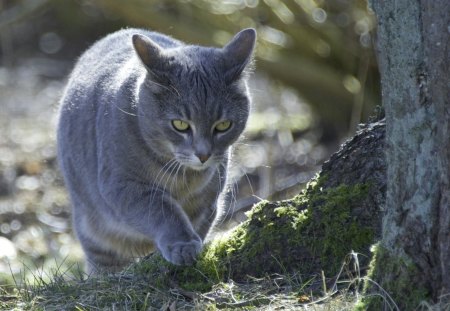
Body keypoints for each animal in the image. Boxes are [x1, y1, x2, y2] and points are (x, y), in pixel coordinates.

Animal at [55, 28, 256, 274]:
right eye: (180, 124)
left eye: (223, 125)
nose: (203, 155)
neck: (184, 177)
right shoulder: (122, 185)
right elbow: (163, 211)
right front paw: (183, 244)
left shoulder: (209, 198)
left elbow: (200, 222)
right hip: (94, 232)